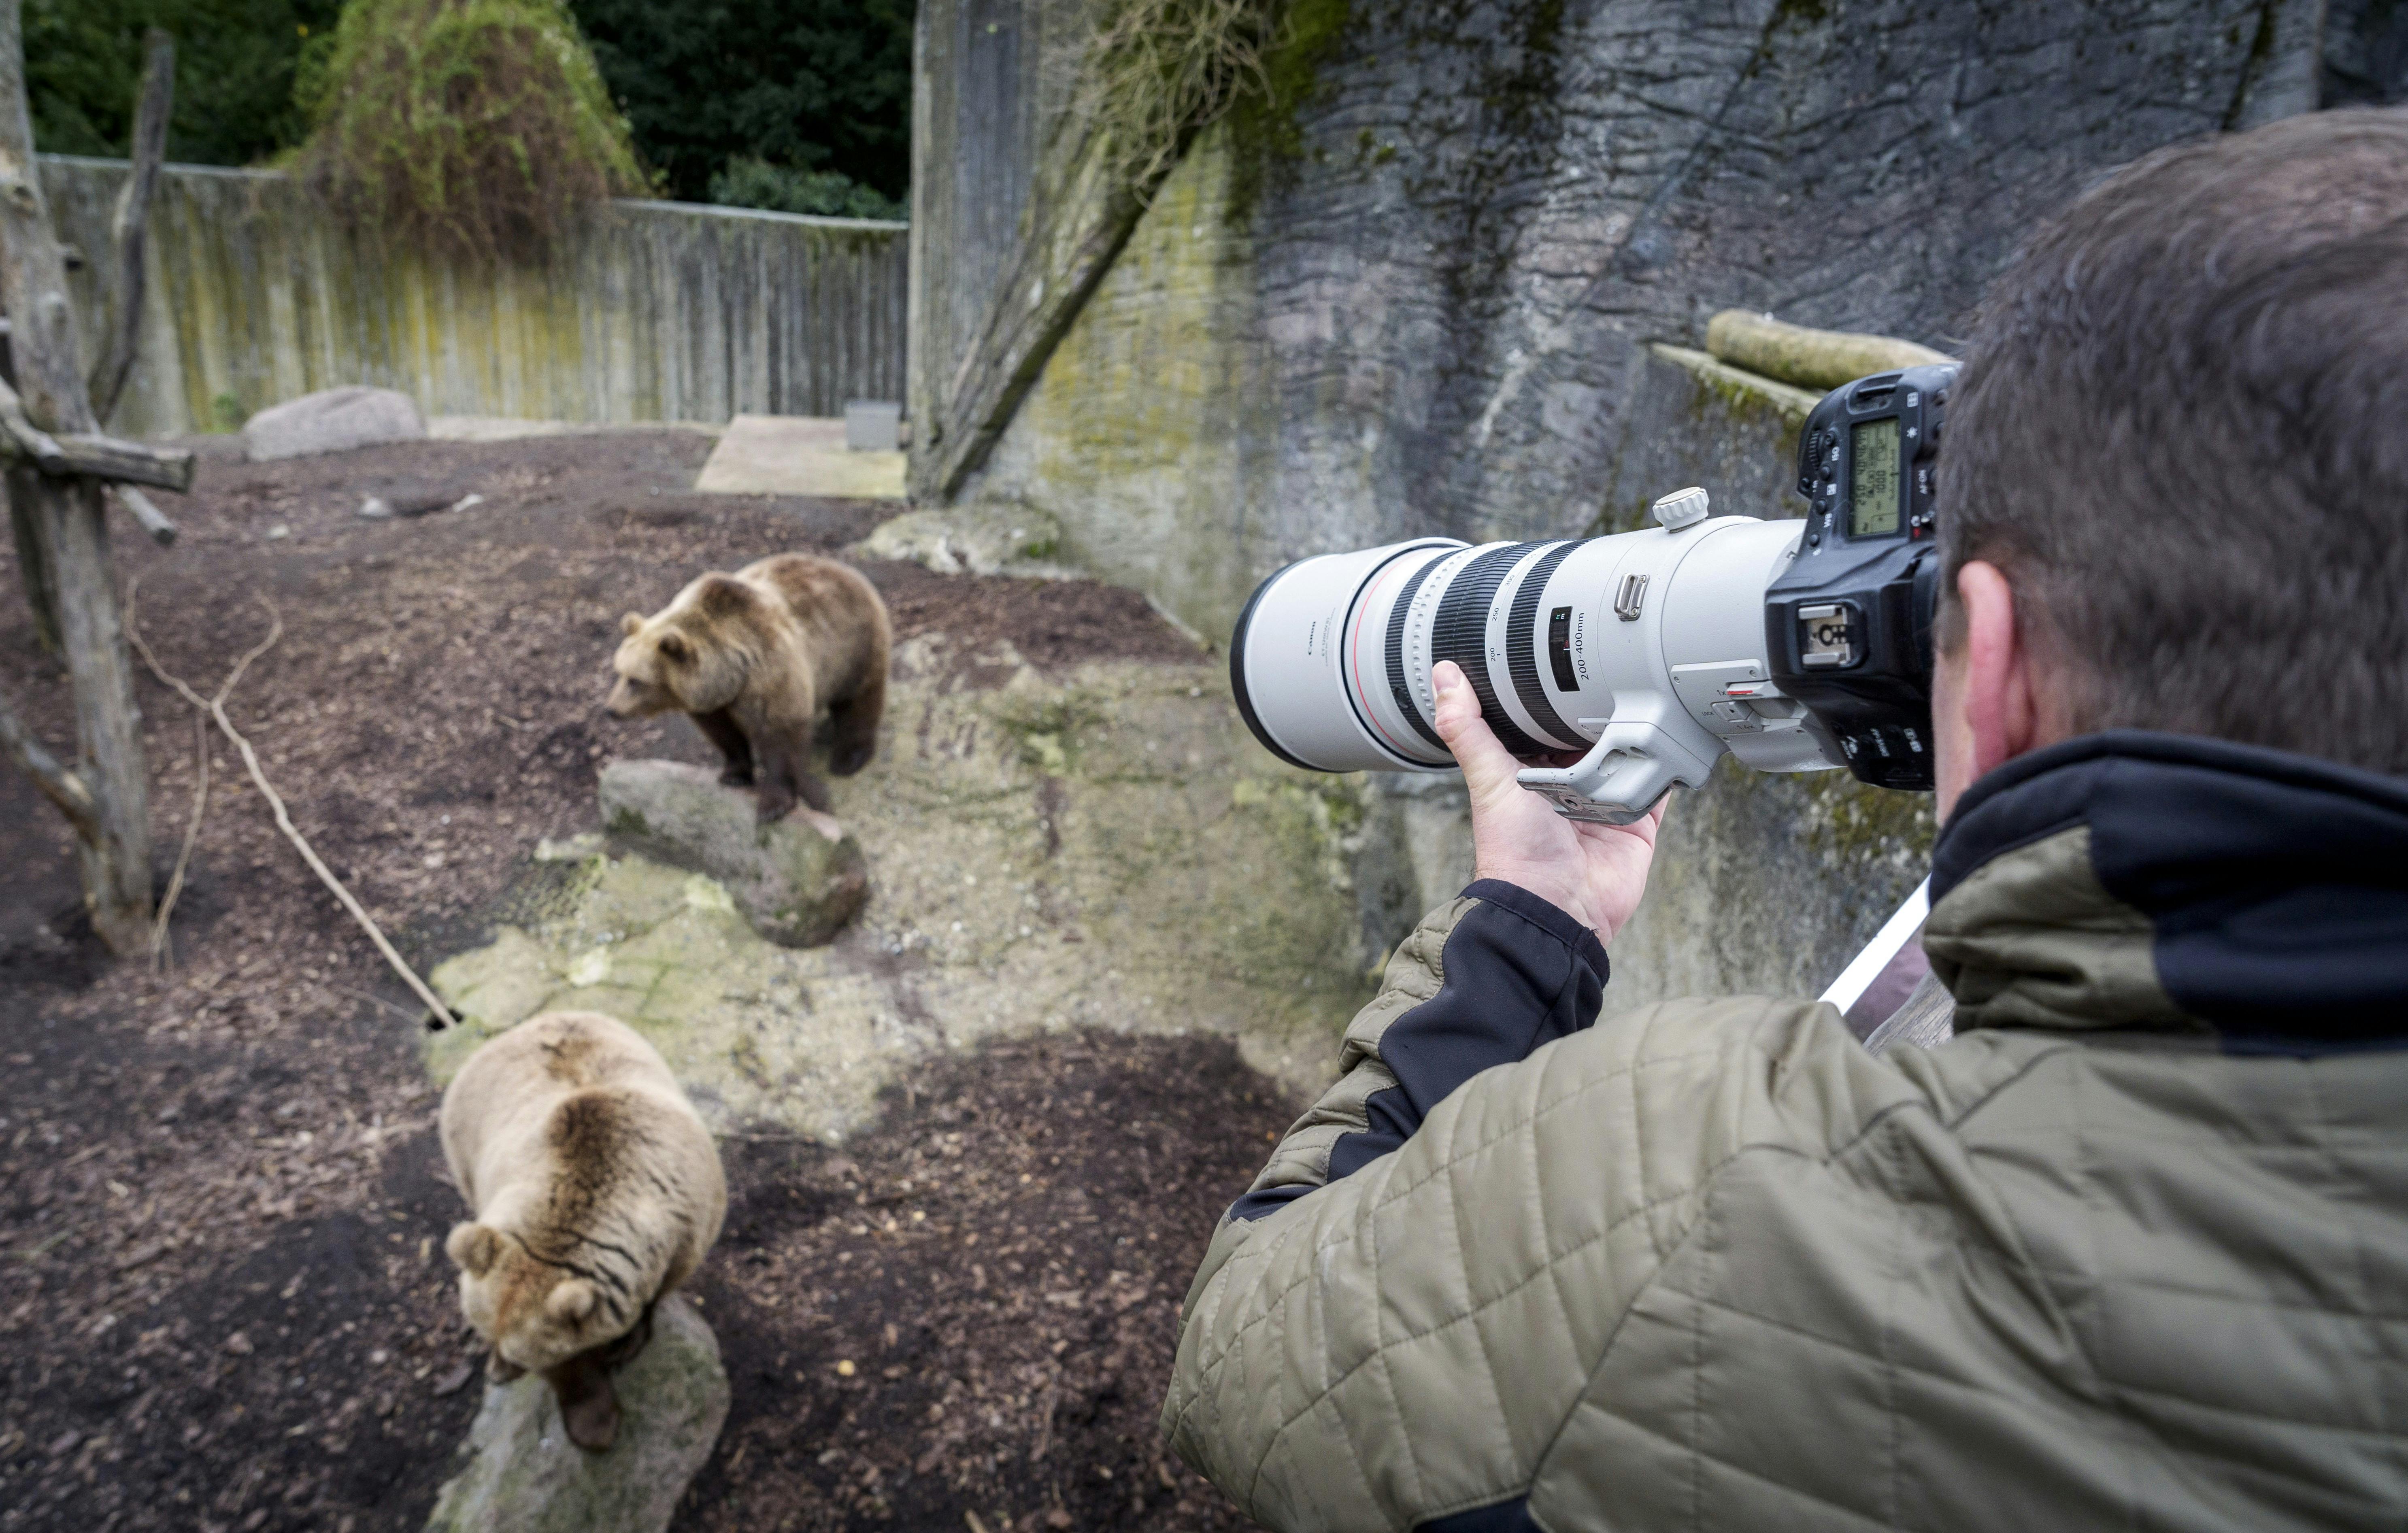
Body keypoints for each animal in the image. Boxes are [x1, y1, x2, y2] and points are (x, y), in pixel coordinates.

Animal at [440, 1010, 722, 1453]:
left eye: (522, 1357)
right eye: (487, 1333)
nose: (502, 1366)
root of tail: (542, 1019)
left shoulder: (689, 1226)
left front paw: (622, 1351)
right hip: (464, 1145)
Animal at [611, 546, 896, 813]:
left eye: (636, 680)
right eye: (619, 671)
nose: (611, 710)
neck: (730, 675)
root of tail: (847, 570)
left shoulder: (769, 670)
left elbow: (781, 733)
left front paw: (774, 803)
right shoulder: (712, 703)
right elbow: (725, 734)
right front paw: (734, 775)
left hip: (852, 645)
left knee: (859, 699)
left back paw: (849, 758)